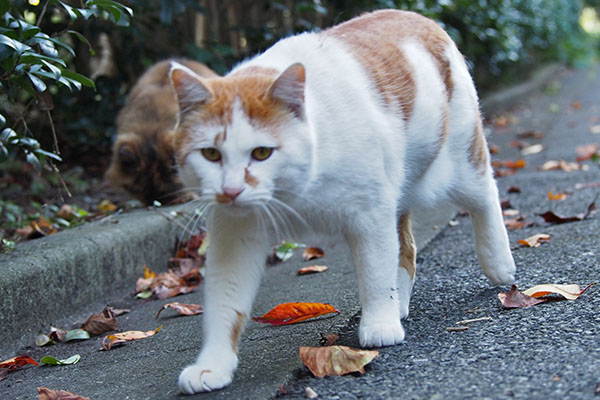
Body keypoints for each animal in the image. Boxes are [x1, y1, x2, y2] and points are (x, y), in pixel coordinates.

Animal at [168, 9, 516, 394]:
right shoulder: (235, 233)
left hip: (452, 166)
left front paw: (379, 324)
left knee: (484, 192)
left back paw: (498, 262)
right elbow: (224, 301)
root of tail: (417, 16)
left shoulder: (371, 213)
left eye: (261, 153)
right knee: (406, 248)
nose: (230, 190)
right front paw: (212, 365)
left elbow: (375, 271)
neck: (294, 193)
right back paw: (400, 301)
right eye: (211, 154)